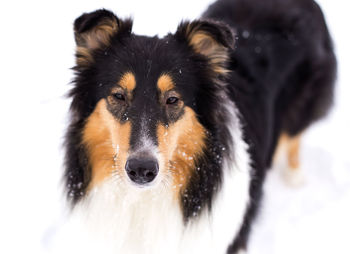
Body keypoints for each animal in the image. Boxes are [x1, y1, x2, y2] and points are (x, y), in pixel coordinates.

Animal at [63, 0, 336, 252]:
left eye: (173, 99)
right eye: (119, 96)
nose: (142, 170)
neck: (145, 199)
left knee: (293, 135)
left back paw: (294, 174)